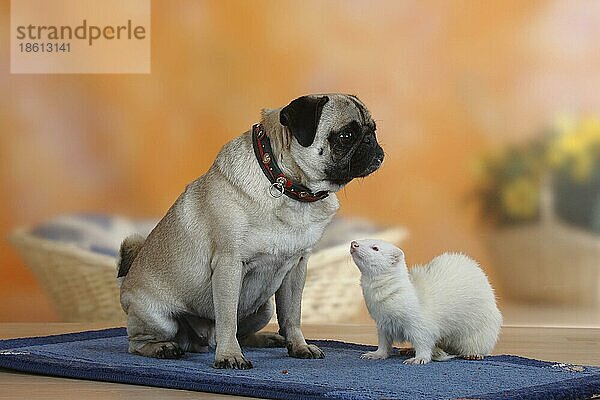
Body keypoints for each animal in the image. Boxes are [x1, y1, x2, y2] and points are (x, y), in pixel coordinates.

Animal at [117, 94, 384, 368]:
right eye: (346, 136)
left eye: (373, 129)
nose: (372, 142)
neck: (287, 185)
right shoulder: (229, 264)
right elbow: (227, 319)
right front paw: (229, 355)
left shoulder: (297, 267)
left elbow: (292, 315)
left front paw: (299, 346)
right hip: (159, 319)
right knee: (136, 343)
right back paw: (164, 348)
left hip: (264, 307)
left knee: (245, 333)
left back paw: (267, 338)